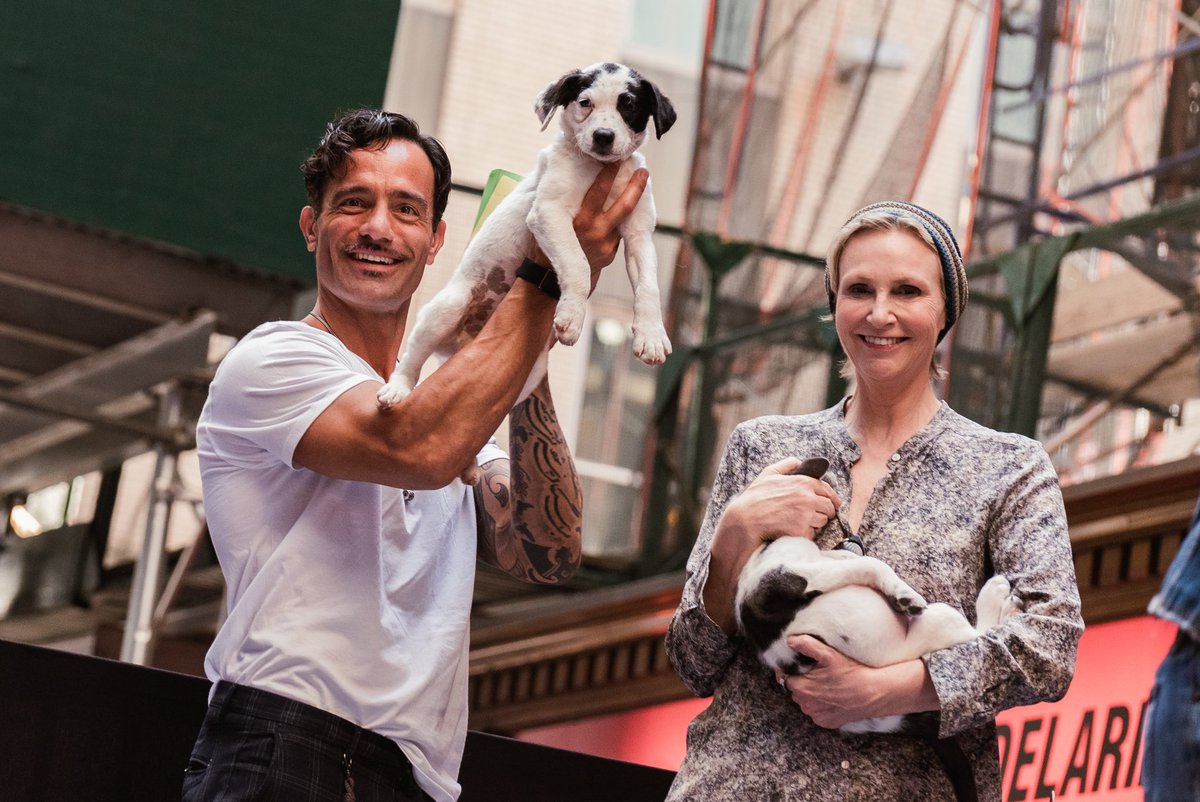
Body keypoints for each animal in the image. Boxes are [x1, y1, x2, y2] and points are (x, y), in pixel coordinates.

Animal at [374, 61, 676, 413]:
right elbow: (578, 264)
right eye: (585, 103)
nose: (603, 136)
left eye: (628, 104)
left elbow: (648, 287)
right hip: (446, 309)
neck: (601, 170)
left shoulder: (639, 233)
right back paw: (397, 390)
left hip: (529, 374)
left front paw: (651, 335)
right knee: (411, 360)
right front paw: (572, 316)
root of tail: (464, 343)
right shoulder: (548, 212)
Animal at [734, 533, 1017, 734]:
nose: (855, 539)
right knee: (979, 632)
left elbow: (854, 561)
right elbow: (870, 564)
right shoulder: (790, 579)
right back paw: (1000, 599)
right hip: (941, 619)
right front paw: (903, 595)